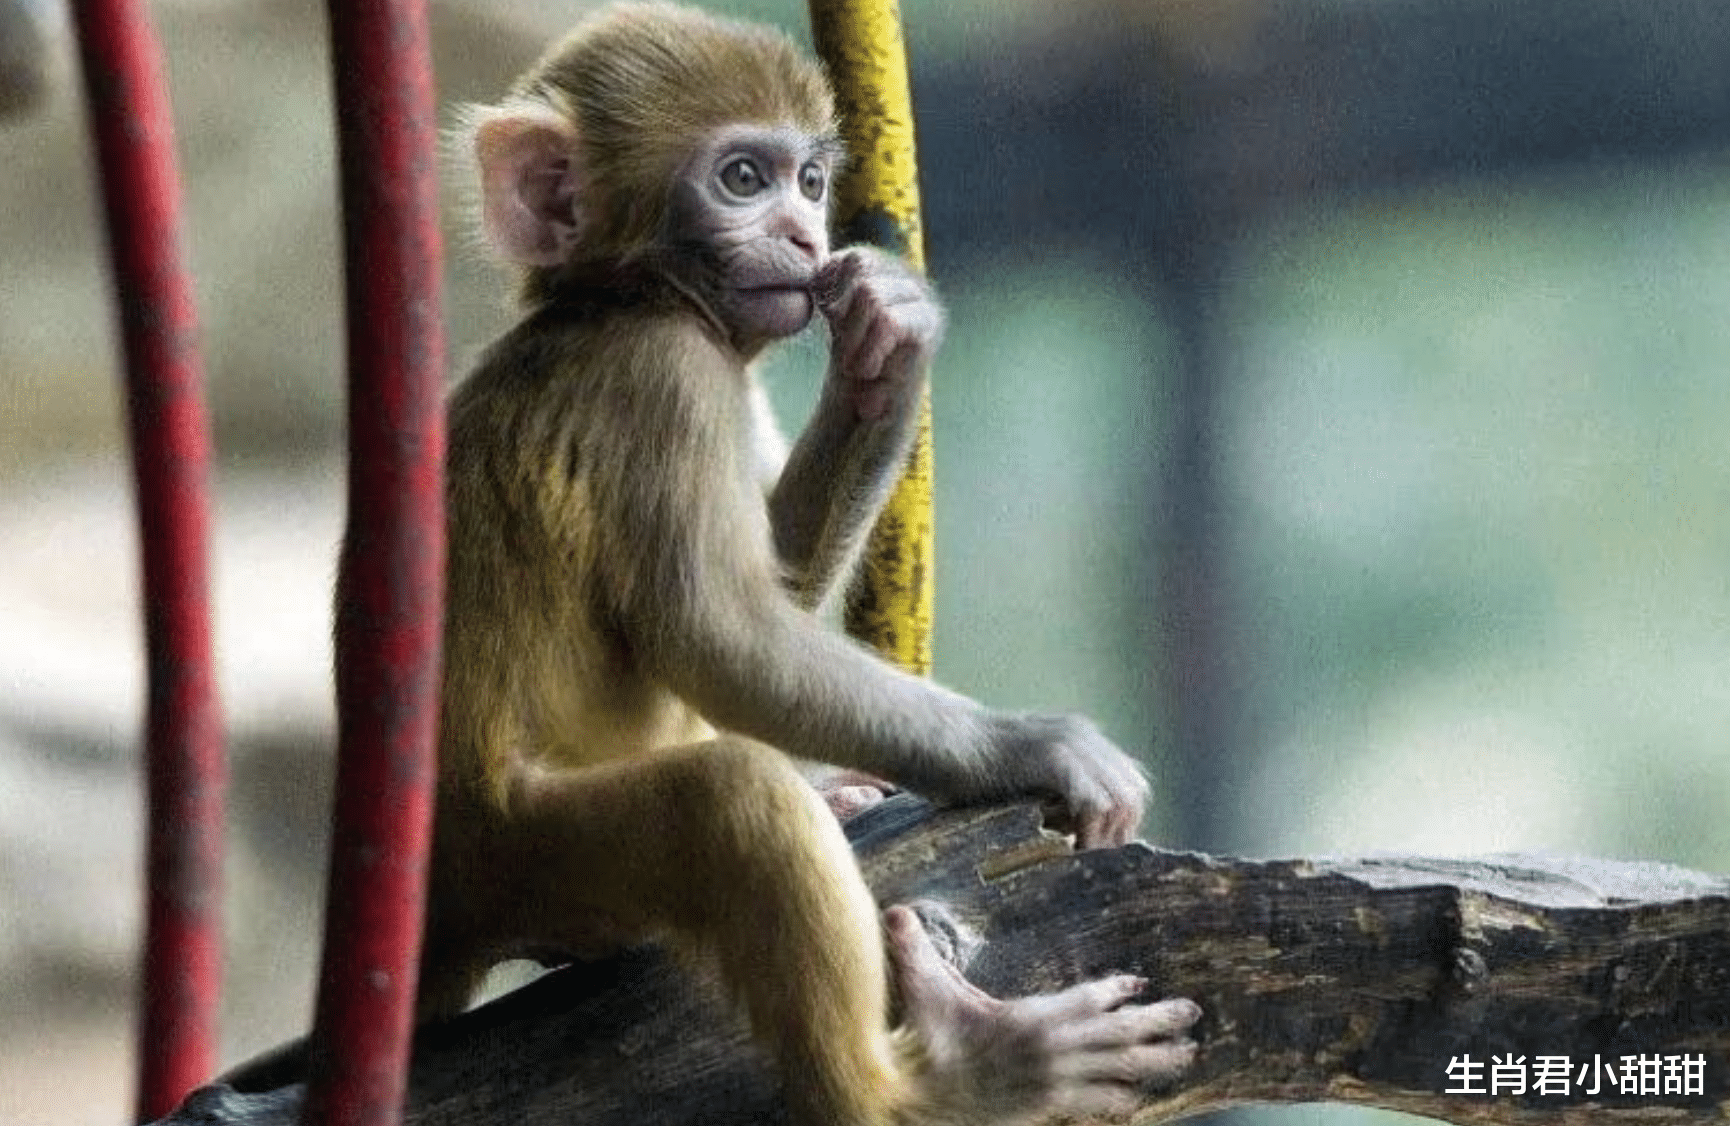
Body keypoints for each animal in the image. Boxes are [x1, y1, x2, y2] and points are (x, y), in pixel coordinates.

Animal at [425, 4, 1197, 1120]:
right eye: (744, 179)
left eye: (812, 181)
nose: (805, 237)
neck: (621, 303)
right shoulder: (665, 381)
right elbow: (723, 642)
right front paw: (1032, 746)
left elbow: (776, 579)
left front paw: (893, 348)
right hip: (517, 855)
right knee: (728, 797)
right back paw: (935, 1081)